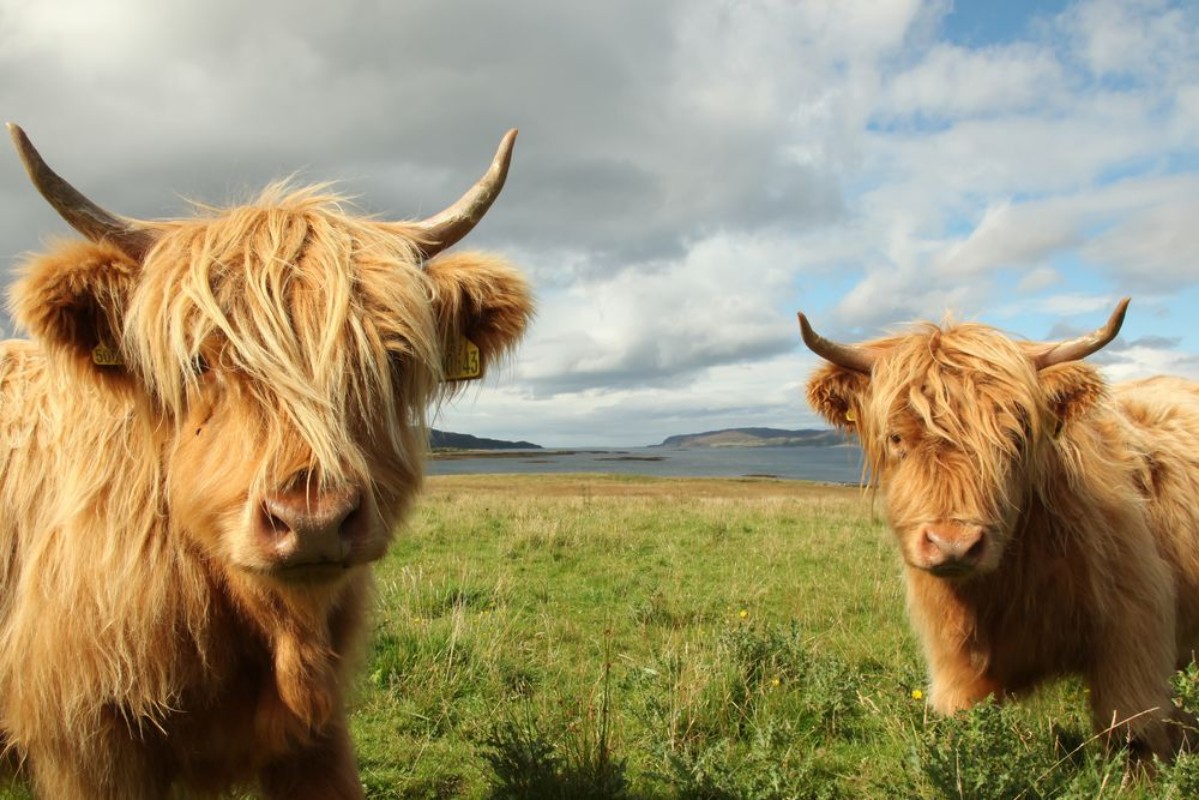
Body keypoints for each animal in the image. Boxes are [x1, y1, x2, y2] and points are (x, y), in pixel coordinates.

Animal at [799, 300, 1199, 761]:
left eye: (1015, 436)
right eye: (897, 437)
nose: (953, 545)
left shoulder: (1134, 637)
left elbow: (1132, 738)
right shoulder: (955, 663)